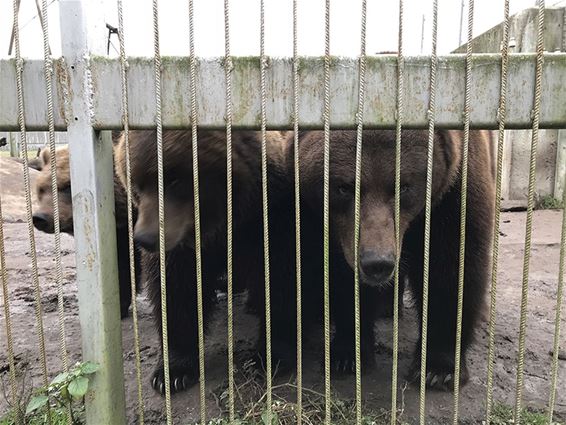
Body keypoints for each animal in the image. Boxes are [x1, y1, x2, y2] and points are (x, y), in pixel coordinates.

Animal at [113, 128, 296, 394]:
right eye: (137, 182)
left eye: (174, 180)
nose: (145, 238)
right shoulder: (181, 249)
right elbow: (177, 291)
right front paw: (172, 372)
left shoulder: (270, 217)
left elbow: (282, 277)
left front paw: (270, 357)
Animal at [292, 128, 496, 388]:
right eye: (344, 187)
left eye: (403, 187)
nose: (377, 263)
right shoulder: (333, 227)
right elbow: (343, 277)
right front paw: (348, 355)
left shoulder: (453, 192)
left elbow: (451, 267)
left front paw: (438, 369)